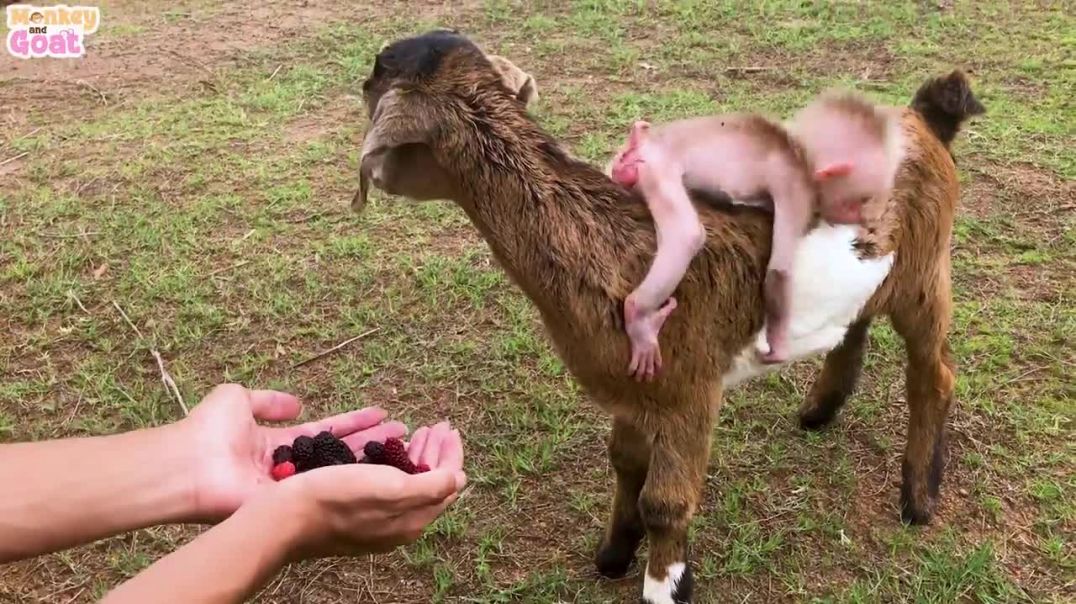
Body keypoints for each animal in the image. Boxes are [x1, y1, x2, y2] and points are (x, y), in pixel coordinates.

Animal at [353, 30, 983, 604]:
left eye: (372, 79)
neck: (611, 244)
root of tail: (924, 118)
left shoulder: (690, 390)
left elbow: (665, 502)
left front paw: (666, 586)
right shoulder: (631, 389)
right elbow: (626, 462)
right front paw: (613, 554)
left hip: (927, 270)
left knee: (934, 374)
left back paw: (918, 498)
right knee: (857, 323)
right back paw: (818, 412)